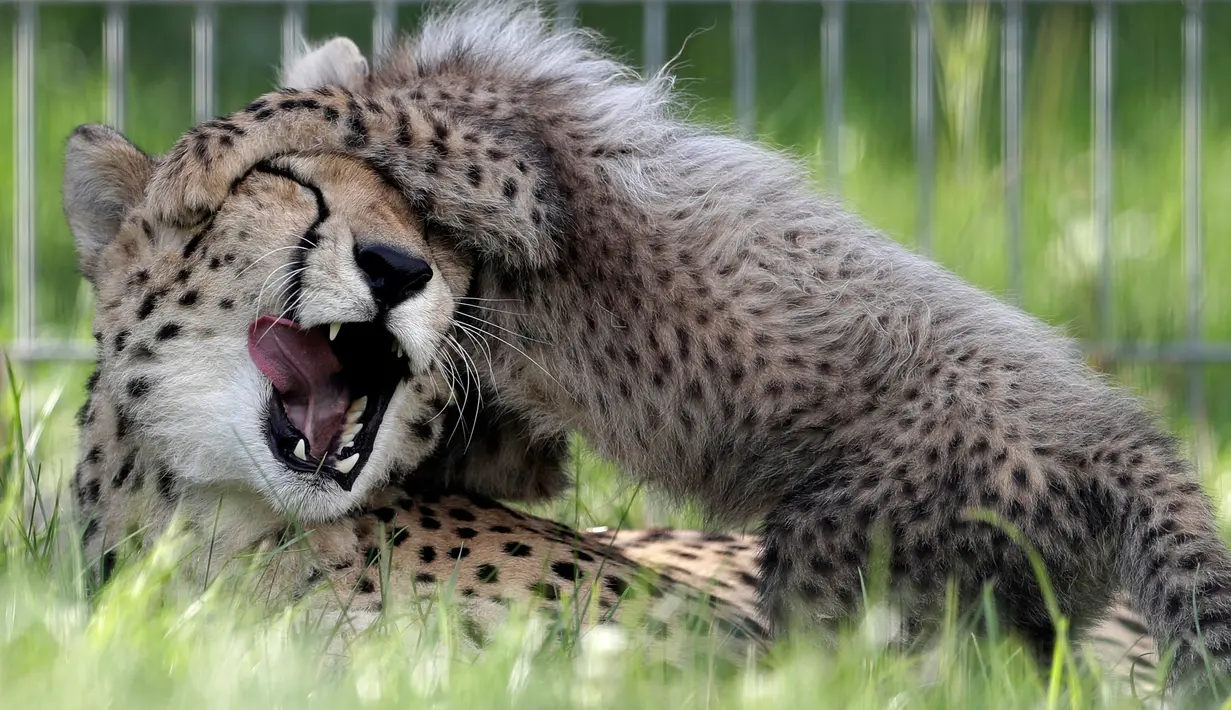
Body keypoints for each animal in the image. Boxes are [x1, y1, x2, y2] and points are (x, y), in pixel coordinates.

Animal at [78, 0, 1231, 692]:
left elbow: (316, 103)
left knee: (825, 665)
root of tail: (1119, 432)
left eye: (424, 232)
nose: (400, 270)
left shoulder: (509, 165)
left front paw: (197, 159)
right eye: (302, 200)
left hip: (844, 548)